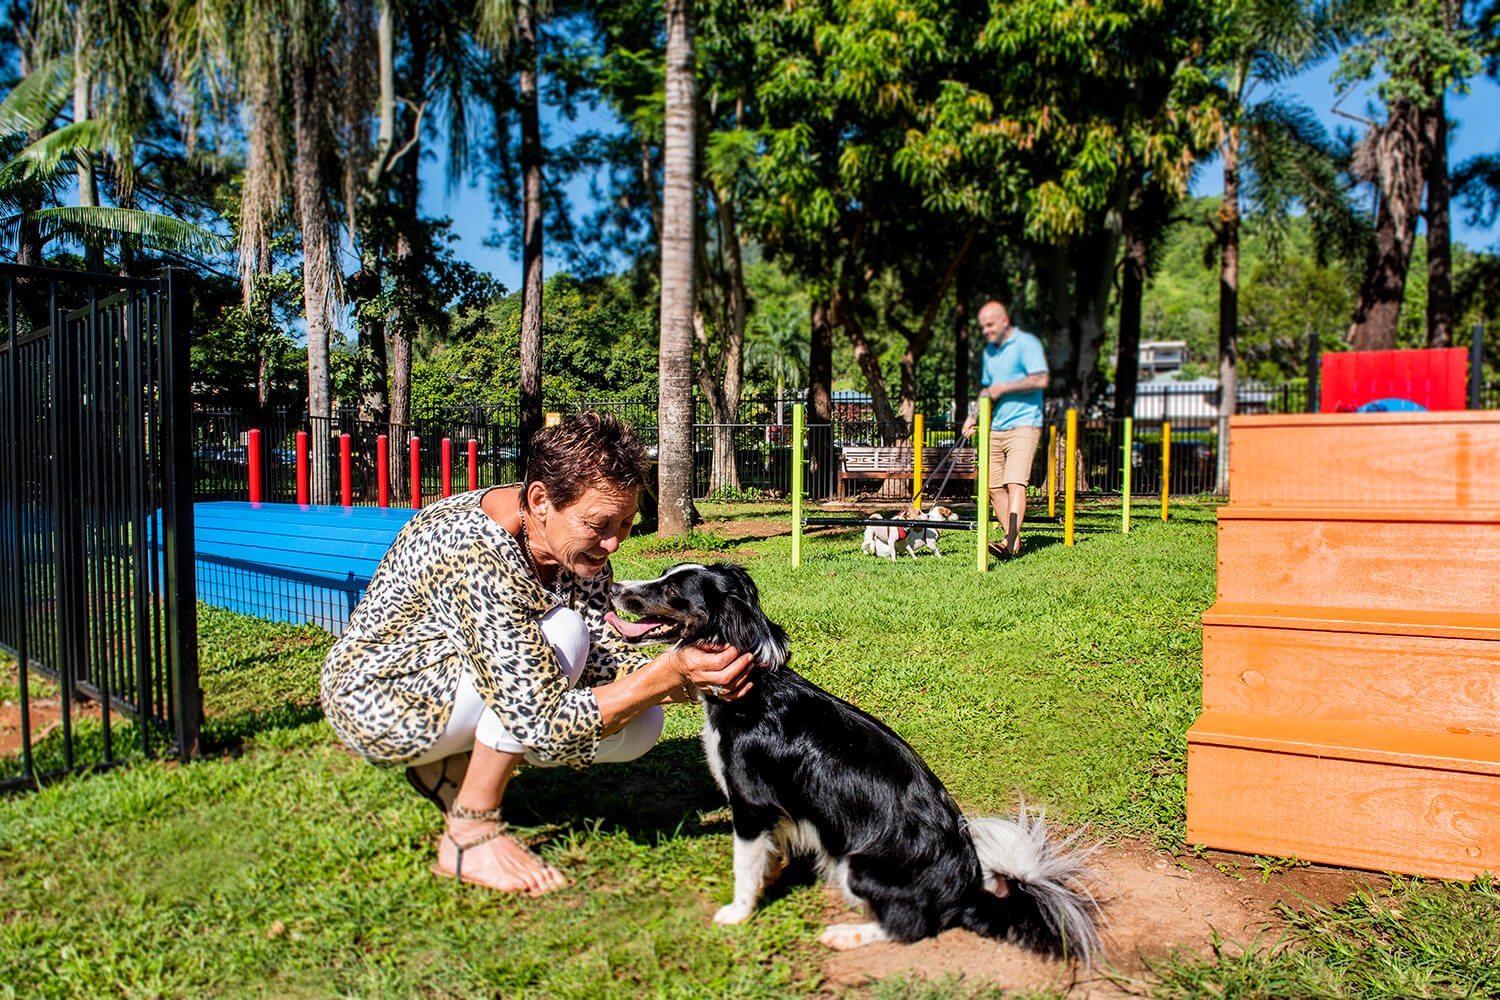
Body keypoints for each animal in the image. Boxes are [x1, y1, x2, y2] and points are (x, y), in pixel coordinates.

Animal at [603, 563, 1110, 959]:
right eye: (664, 576)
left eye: (672, 591)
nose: (613, 587)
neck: (755, 692)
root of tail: (969, 892)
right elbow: (768, 856)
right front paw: (771, 877)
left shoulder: (751, 804)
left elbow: (743, 867)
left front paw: (737, 912)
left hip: (858, 864)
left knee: (912, 927)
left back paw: (846, 934)